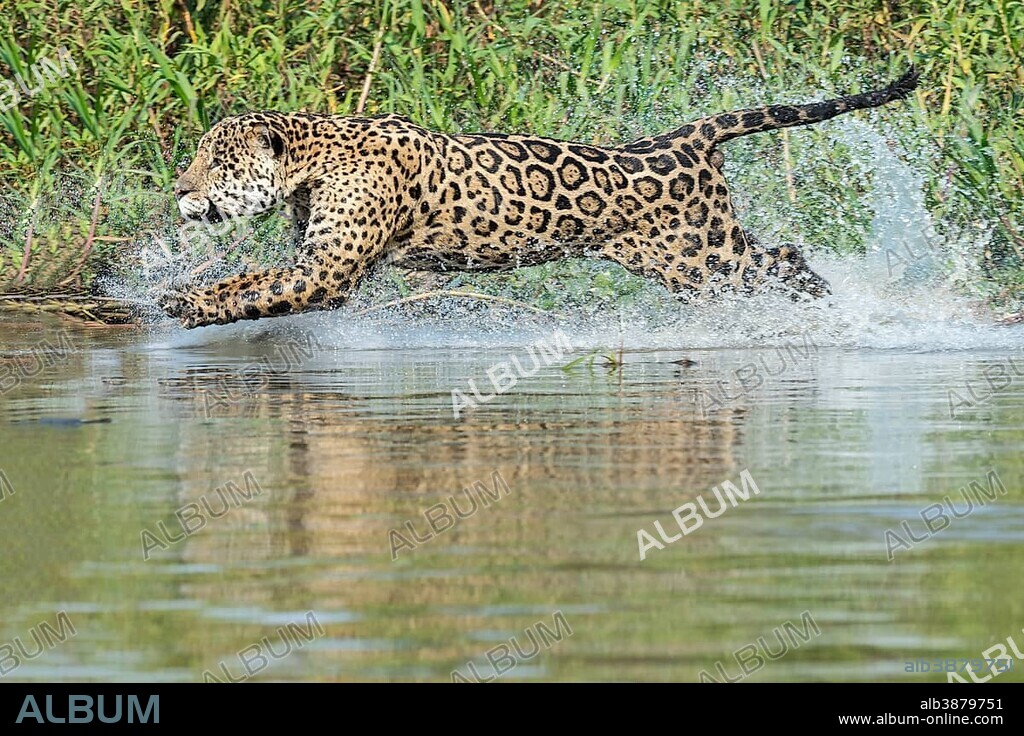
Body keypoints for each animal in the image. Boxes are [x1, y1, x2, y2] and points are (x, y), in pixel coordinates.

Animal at [161, 69, 919, 328]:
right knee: (780, 256)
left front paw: (191, 307)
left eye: (217, 160)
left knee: (785, 259)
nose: (180, 189)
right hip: (694, 257)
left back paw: (840, 312)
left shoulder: (328, 273)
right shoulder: (312, 259)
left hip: (702, 259)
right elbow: (249, 280)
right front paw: (178, 297)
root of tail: (683, 137)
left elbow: (254, 291)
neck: (312, 160)